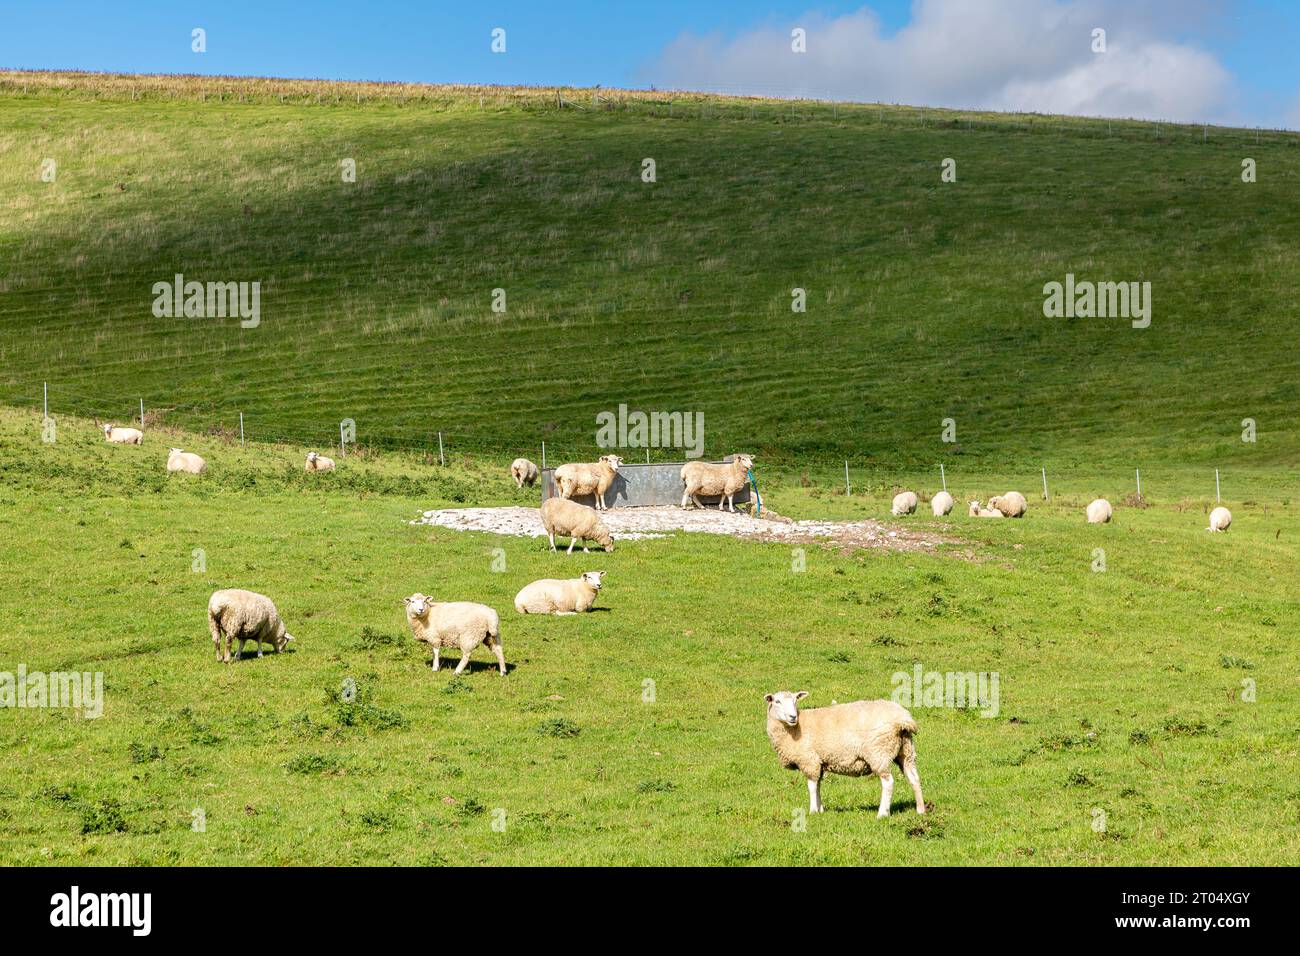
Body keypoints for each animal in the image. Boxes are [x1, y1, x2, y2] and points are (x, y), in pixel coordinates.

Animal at [764, 691, 925, 818]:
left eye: (795, 700)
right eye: (777, 701)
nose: (793, 717)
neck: (794, 729)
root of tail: (903, 718)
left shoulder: (809, 761)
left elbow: (812, 786)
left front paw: (813, 811)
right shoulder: (819, 762)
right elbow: (818, 786)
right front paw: (820, 809)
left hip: (879, 752)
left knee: (888, 782)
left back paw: (882, 814)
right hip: (906, 751)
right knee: (914, 778)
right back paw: (920, 810)